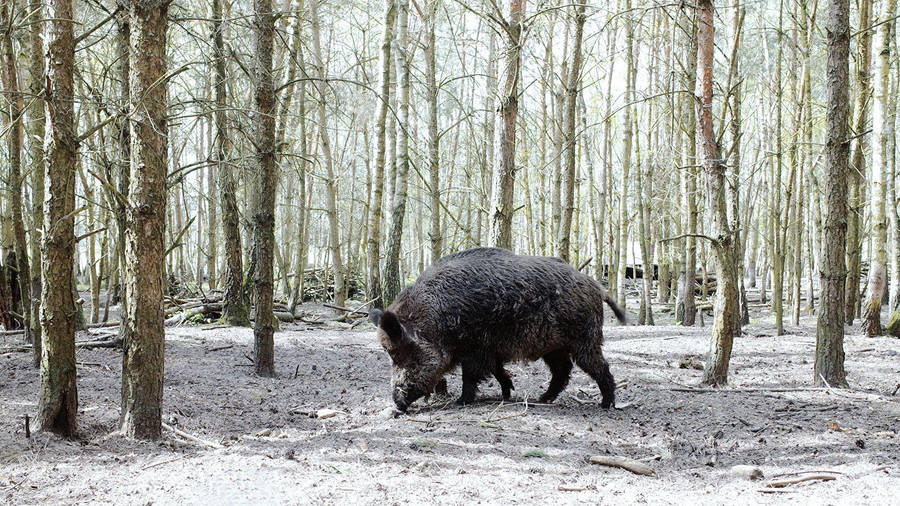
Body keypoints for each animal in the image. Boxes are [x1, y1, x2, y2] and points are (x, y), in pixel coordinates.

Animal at [369, 247, 627, 411]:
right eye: (390, 354)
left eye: (405, 353)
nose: (397, 403)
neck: (435, 321)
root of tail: (595, 286)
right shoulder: (489, 351)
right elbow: (498, 371)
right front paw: (507, 393)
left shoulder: (475, 349)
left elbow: (471, 376)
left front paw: (461, 402)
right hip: (554, 347)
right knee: (562, 372)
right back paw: (543, 398)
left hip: (584, 339)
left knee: (599, 367)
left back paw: (606, 405)